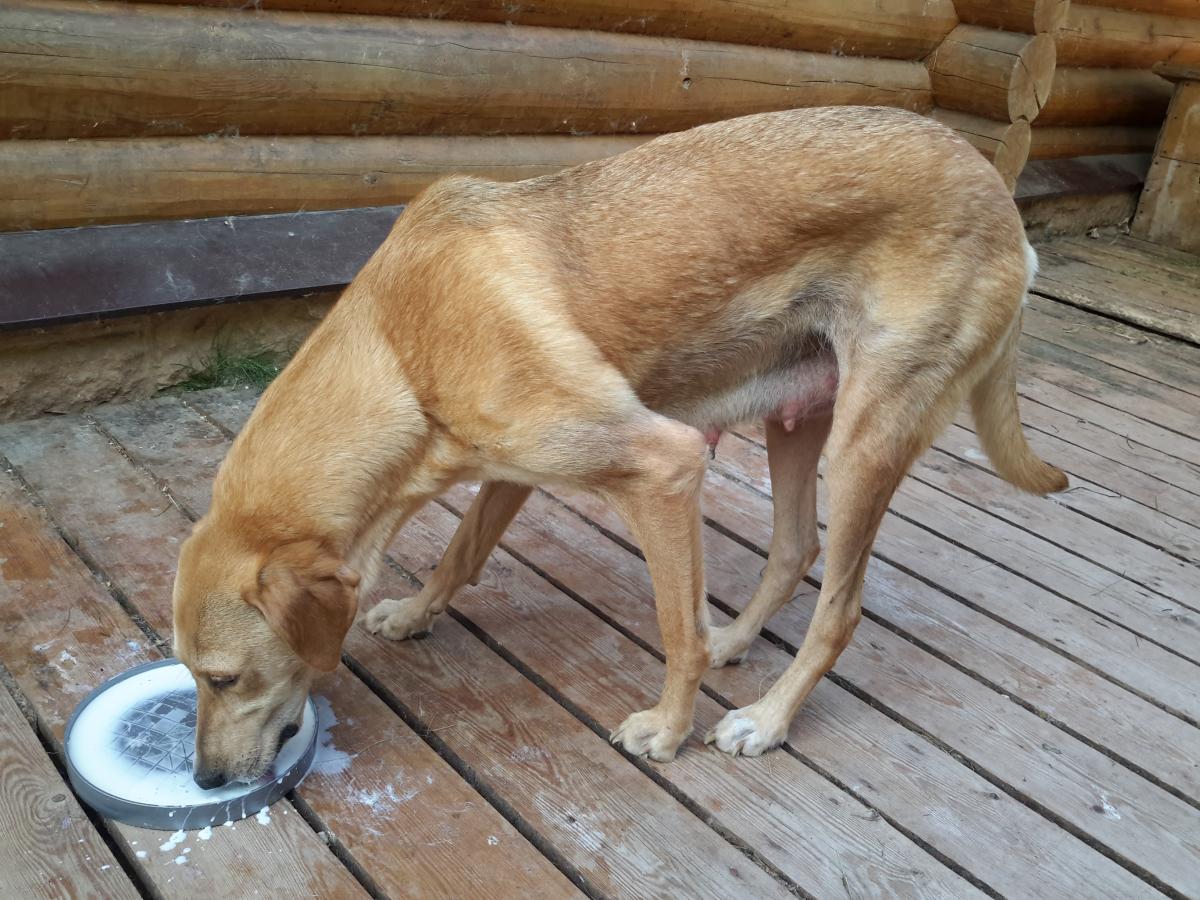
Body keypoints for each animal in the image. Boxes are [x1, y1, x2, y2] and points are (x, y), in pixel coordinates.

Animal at [172, 106, 1067, 786]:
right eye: (193, 677)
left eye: (222, 678)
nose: (205, 780)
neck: (400, 346)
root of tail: (997, 190)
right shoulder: (510, 469)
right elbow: (462, 552)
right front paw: (419, 612)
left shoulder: (665, 467)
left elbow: (674, 634)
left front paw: (667, 730)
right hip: (797, 424)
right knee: (792, 548)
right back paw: (736, 641)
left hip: (864, 444)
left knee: (837, 609)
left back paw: (766, 718)